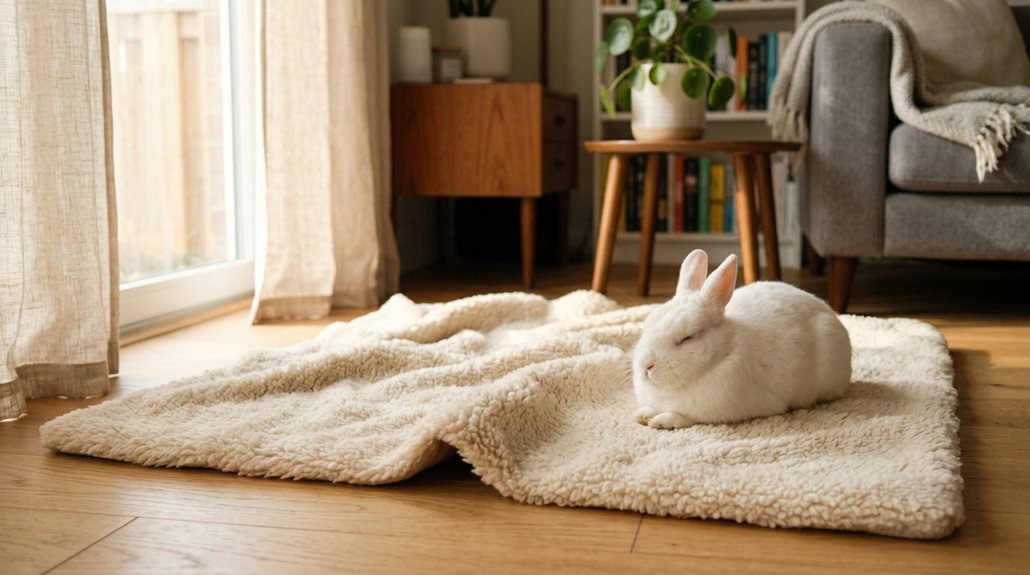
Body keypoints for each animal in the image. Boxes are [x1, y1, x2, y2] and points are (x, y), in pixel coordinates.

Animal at [632, 249, 852, 429]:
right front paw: (643, 414)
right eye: (648, 324)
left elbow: (685, 416)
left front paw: (661, 420)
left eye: (687, 338)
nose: (645, 365)